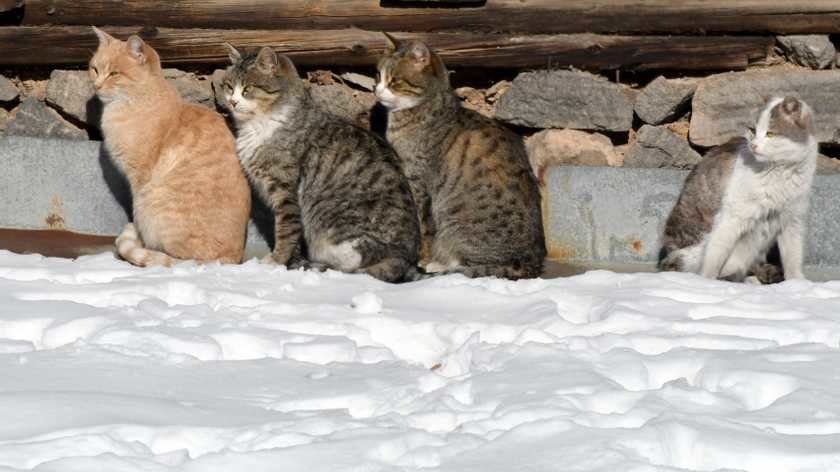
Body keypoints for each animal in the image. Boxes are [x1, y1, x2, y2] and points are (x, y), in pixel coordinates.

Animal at [91, 27, 251, 268]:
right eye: (94, 69)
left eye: (114, 74)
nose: (97, 85)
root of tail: (231, 259)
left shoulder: (139, 180)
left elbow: (136, 214)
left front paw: (138, 238)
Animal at [221, 44, 420, 282]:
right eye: (229, 86)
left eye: (248, 89)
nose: (232, 102)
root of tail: (405, 259)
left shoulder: (285, 191)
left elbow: (286, 230)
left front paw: (275, 262)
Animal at [378, 37, 548, 280]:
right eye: (378, 76)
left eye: (394, 81)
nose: (376, 91)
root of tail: (531, 265)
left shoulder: (419, 182)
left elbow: (424, 227)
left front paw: (422, 257)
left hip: (458, 225)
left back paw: (437, 265)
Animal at [660, 94, 816, 282]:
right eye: (753, 130)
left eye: (770, 133)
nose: (754, 145)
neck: (781, 170)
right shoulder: (732, 218)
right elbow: (713, 259)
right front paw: (706, 283)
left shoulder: (792, 220)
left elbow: (793, 257)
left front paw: (796, 283)